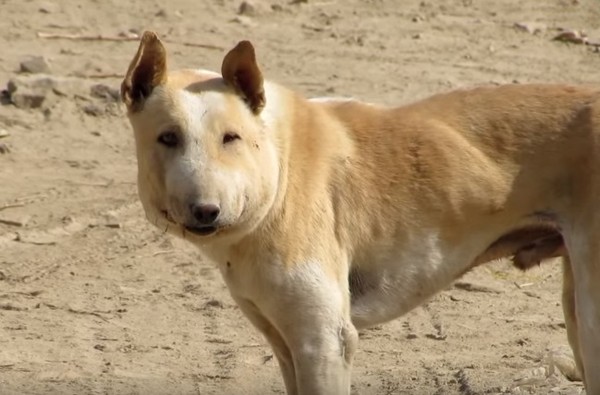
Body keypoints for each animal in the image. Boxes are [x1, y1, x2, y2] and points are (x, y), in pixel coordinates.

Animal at [122, 31, 600, 395]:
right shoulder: (286, 344)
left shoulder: (324, 343)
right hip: (577, 317)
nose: (206, 211)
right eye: (167, 138)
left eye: (231, 138)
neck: (279, 167)